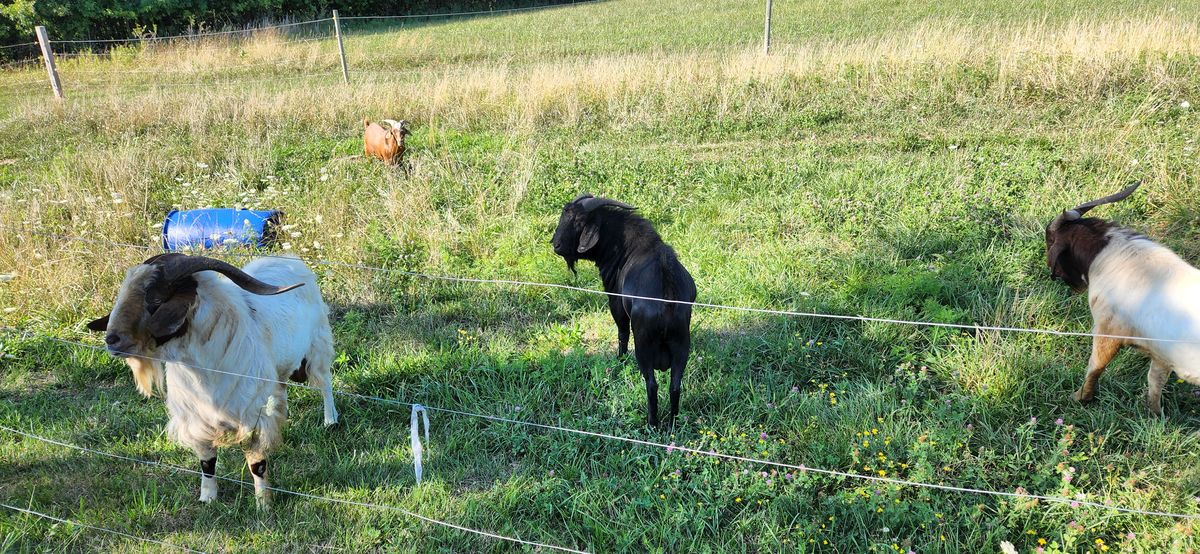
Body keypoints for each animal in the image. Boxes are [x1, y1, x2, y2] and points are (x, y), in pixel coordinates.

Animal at [87, 253, 338, 507]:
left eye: (156, 299)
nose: (112, 340)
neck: (202, 371)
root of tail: (291, 260)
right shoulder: (197, 419)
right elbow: (207, 462)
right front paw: (207, 498)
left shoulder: (251, 416)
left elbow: (257, 463)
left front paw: (263, 504)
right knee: (281, 389)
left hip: (318, 347)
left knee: (325, 384)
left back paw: (330, 421)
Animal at [551, 193, 697, 428]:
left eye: (579, 221)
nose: (556, 244)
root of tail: (666, 295)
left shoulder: (615, 301)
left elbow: (621, 331)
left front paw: (619, 359)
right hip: (682, 343)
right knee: (675, 385)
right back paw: (672, 424)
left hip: (644, 345)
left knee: (652, 384)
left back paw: (652, 424)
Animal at [1046, 183, 1200, 417]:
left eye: (1049, 240)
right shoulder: (1162, 354)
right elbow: (1155, 382)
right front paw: (1153, 414)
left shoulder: (1107, 329)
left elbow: (1095, 367)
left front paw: (1078, 398)